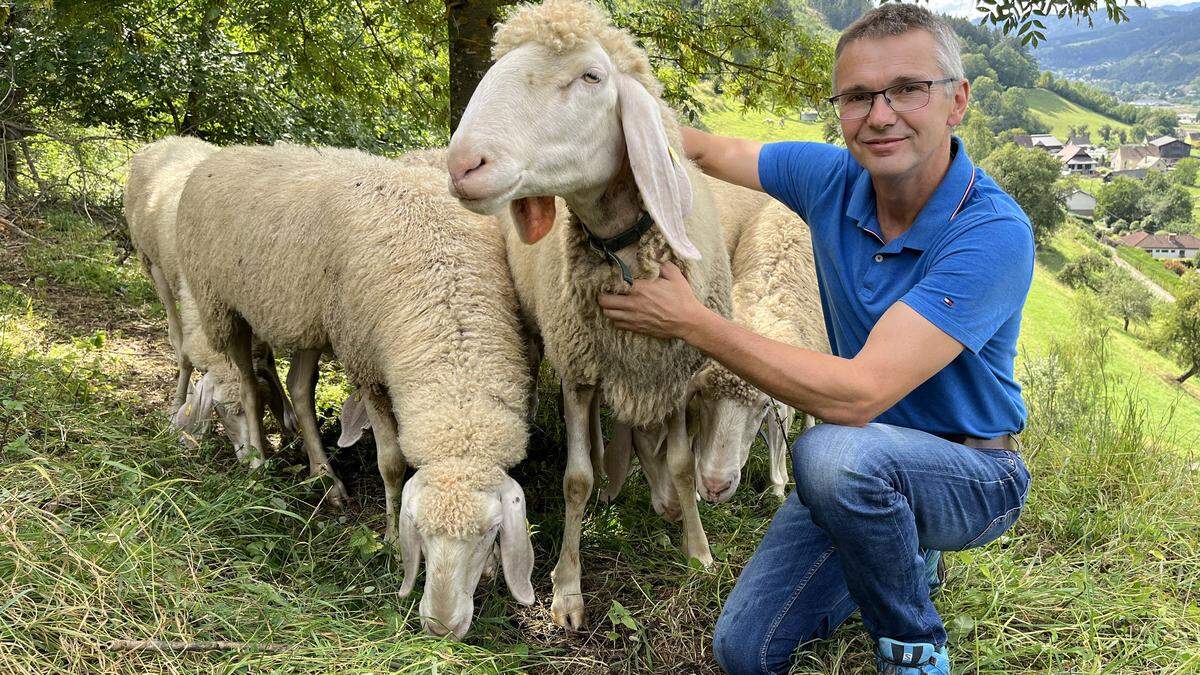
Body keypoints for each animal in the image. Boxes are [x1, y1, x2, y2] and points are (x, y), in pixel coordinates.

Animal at [120, 135, 294, 451]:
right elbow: (187, 354)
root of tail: (172, 139)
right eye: (221, 410)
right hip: (151, 262)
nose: (250, 455)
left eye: (263, 407)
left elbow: (267, 359)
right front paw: (175, 411)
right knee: (175, 334)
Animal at [174, 141, 535, 634]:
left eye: (491, 533)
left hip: (310, 317)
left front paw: (494, 568)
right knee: (248, 385)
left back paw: (326, 480)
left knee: (298, 387)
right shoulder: (367, 367)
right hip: (223, 303)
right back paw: (259, 462)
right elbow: (391, 464)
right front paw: (389, 539)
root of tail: (221, 157)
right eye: (417, 531)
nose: (440, 627)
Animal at [448, 1, 734, 629]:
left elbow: (682, 463)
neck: (623, 249)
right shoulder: (579, 371)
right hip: (553, 339)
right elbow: (574, 481)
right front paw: (567, 589)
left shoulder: (674, 371)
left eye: (591, 77)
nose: (461, 164)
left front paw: (698, 550)